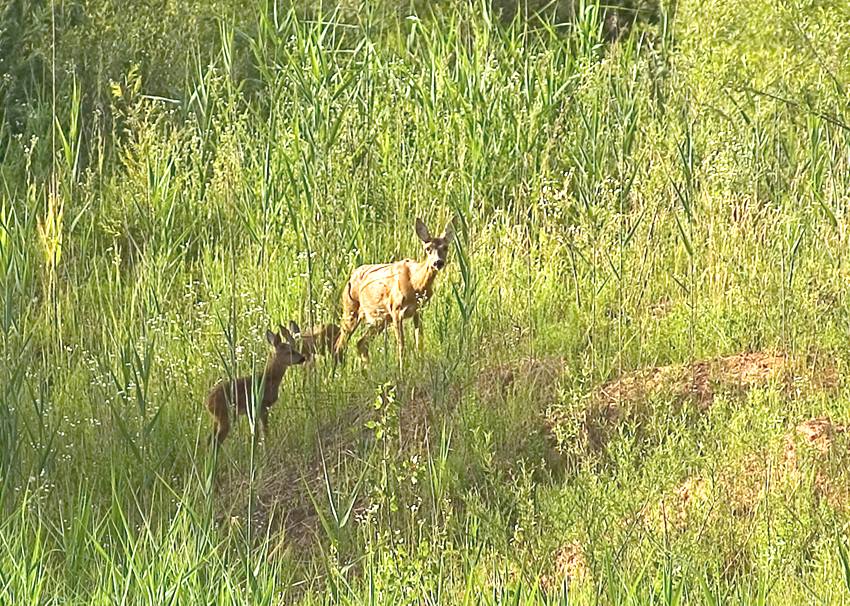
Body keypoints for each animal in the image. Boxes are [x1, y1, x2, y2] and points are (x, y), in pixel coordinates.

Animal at [332, 217, 454, 366]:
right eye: (428, 249)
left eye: (446, 247)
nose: (438, 262)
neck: (416, 284)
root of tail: (350, 277)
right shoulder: (396, 310)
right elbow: (401, 347)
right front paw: (402, 369)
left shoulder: (418, 311)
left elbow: (419, 343)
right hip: (350, 308)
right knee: (340, 344)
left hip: (379, 319)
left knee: (361, 343)